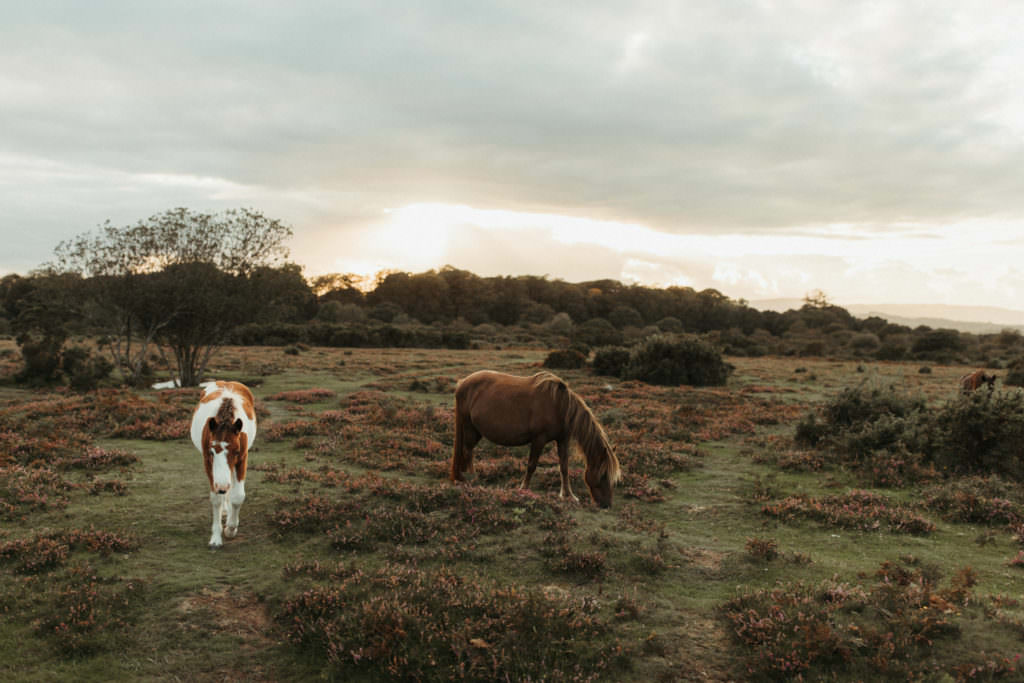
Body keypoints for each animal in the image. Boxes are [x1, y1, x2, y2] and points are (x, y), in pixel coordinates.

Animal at [190, 381, 257, 548]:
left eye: (237, 451)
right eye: (211, 451)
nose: (221, 486)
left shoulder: (242, 459)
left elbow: (238, 496)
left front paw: (231, 529)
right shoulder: (208, 463)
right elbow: (216, 499)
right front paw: (216, 537)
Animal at [450, 370, 621, 508]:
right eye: (603, 475)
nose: (606, 504)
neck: (559, 406)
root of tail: (462, 383)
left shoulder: (563, 440)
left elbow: (564, 467)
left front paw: (568, 495)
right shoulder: (539, 440)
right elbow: (532, 465)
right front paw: (523, 490)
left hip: (476, 431)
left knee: (467, 452)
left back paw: (464, 478)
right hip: (469, 428)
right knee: (467, 451)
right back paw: (473, 480)